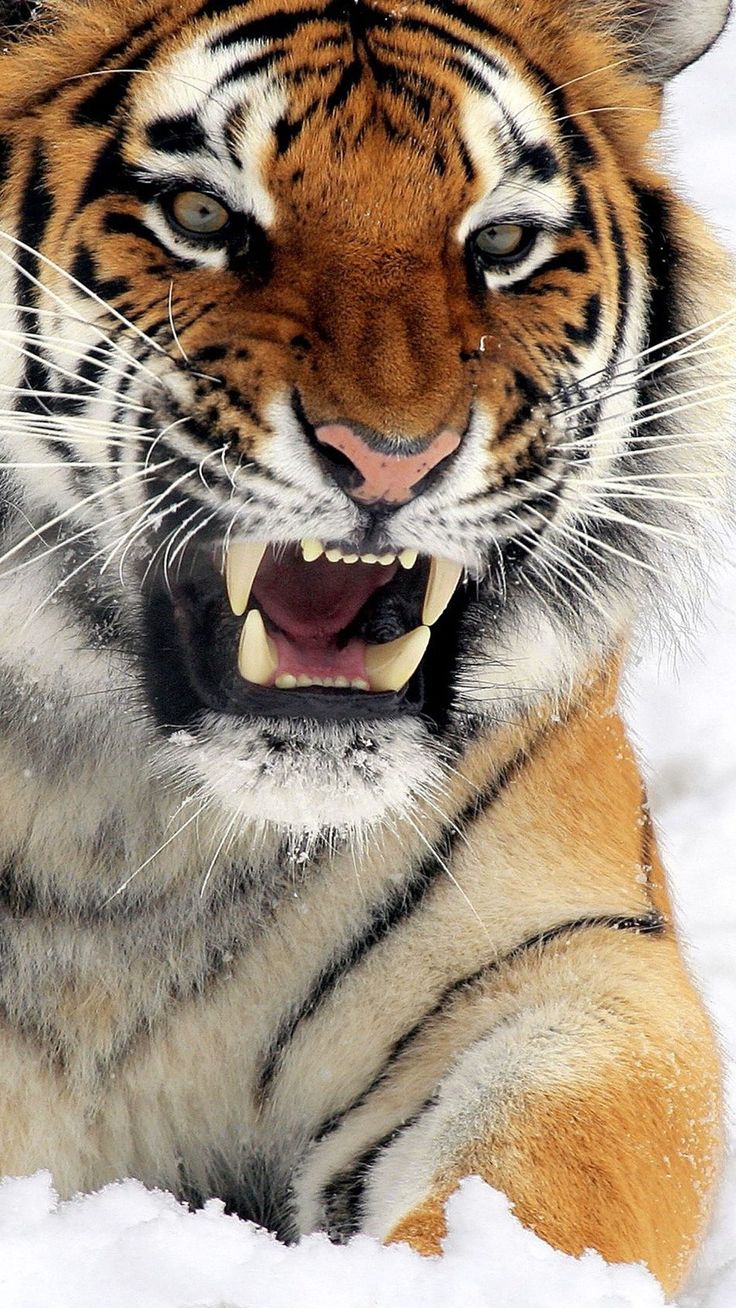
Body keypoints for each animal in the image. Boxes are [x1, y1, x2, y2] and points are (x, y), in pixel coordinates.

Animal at [0, 0, 732, 1296]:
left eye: (502, 242)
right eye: (200, 217)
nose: (394, 460)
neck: (118, 831)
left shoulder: (573, 965)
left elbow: (544, 1181)